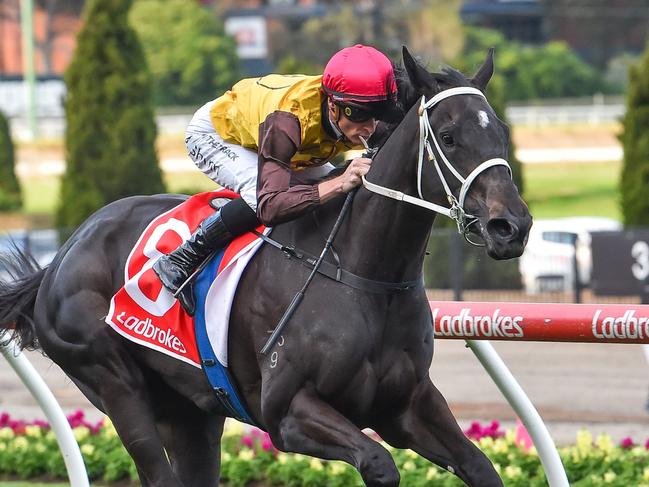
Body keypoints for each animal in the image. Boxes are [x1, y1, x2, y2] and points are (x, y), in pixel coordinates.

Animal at [1, 46, 532, 487]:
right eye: (448, 136)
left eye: (501, 132)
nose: (512, 226)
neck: (362, 273)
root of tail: (60, 258)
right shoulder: (287, 413)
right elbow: (380, 464)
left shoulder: (407, 405)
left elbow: (481, 468)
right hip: (115, 384)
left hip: (191, 413)